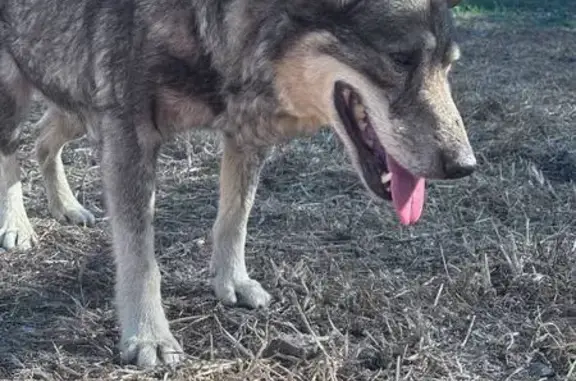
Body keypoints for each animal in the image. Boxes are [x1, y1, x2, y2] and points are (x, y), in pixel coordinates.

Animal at [0, 0, 476, 368]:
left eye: (449, 66)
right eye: (401, 59)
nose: (465, 166)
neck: (207, 24)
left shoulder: (244, 136)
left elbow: (235, 218)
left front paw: (231, 281)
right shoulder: (127, 137)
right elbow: (140, 257)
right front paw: (149, 336)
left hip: (75, 100)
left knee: (43, 139)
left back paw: (66, 205)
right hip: (23, 100)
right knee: (13, 157)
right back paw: (17, 226)